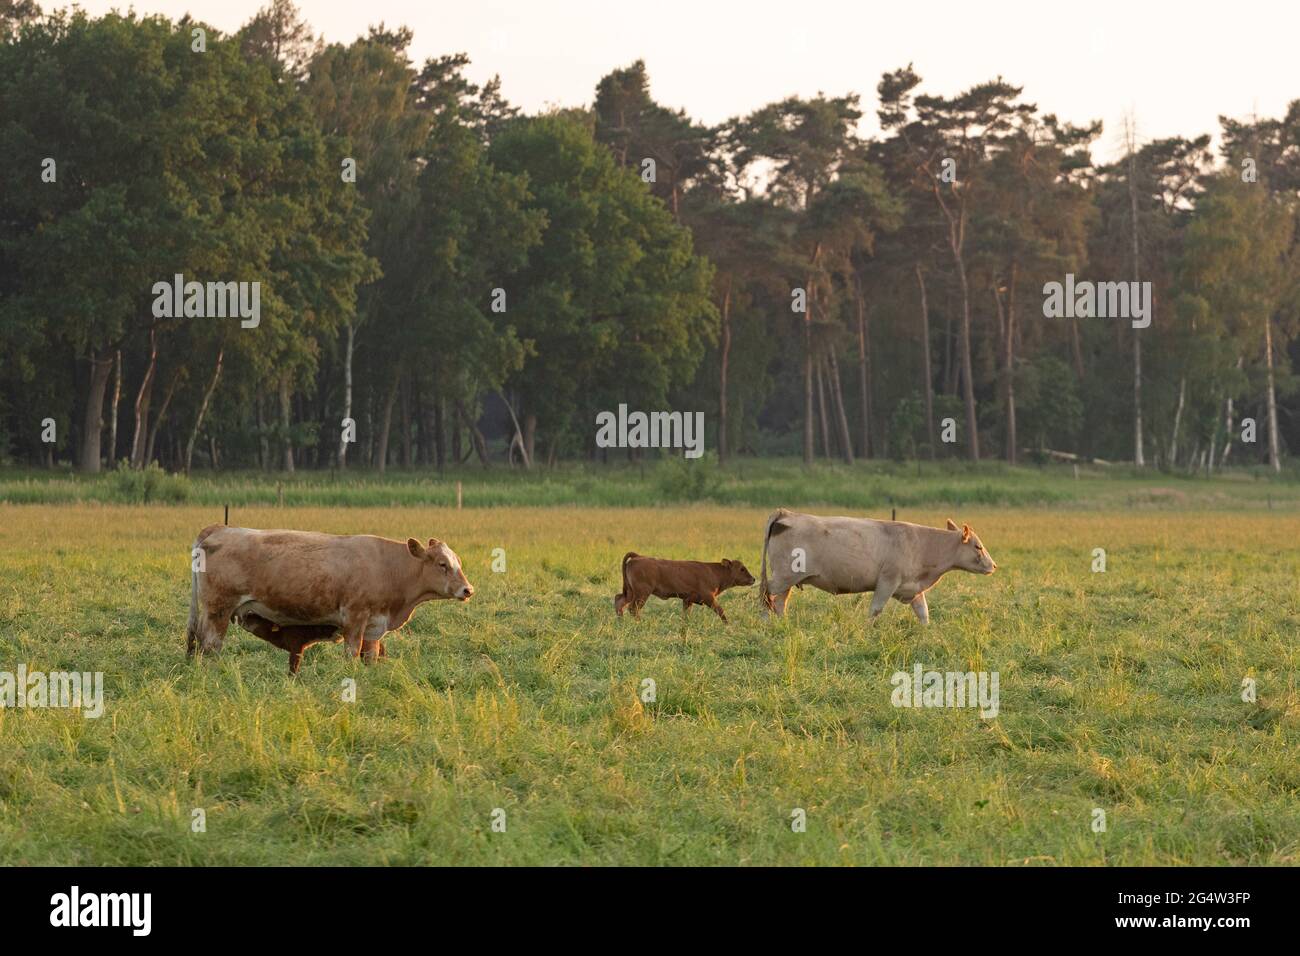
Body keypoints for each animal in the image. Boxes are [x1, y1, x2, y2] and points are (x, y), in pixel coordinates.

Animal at [185, 528, 475, 676]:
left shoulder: (375, 626)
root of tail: (220, 529)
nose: (468, 590)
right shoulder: (355, 618)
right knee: (210, 646)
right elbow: (351, 655)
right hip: (218, 611)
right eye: (442, 564)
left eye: (458, 562)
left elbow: (370, 657)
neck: (389, 568)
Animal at [613, 548, 759, 624]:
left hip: (631, 592)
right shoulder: (709, 598)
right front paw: (728, 625)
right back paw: (640, 623)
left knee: (620, 601)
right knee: (633, 608)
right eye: (742, 569)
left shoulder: (688, 600)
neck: (714, 571)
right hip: (642, 593)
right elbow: (721, 610)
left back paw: (621, 622)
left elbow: (686, 615)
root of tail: (638, 557)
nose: (753, 579)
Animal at [759, 512, 998, 624]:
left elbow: (923, 613)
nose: (993, 566)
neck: (923, 543)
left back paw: (782, 623)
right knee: (765, 593)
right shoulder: (887, 581)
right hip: (783, 576)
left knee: (779, 602)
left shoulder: (912, 588)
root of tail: (786, 514)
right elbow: (875, 610)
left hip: (789, 579)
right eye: (978, 546)